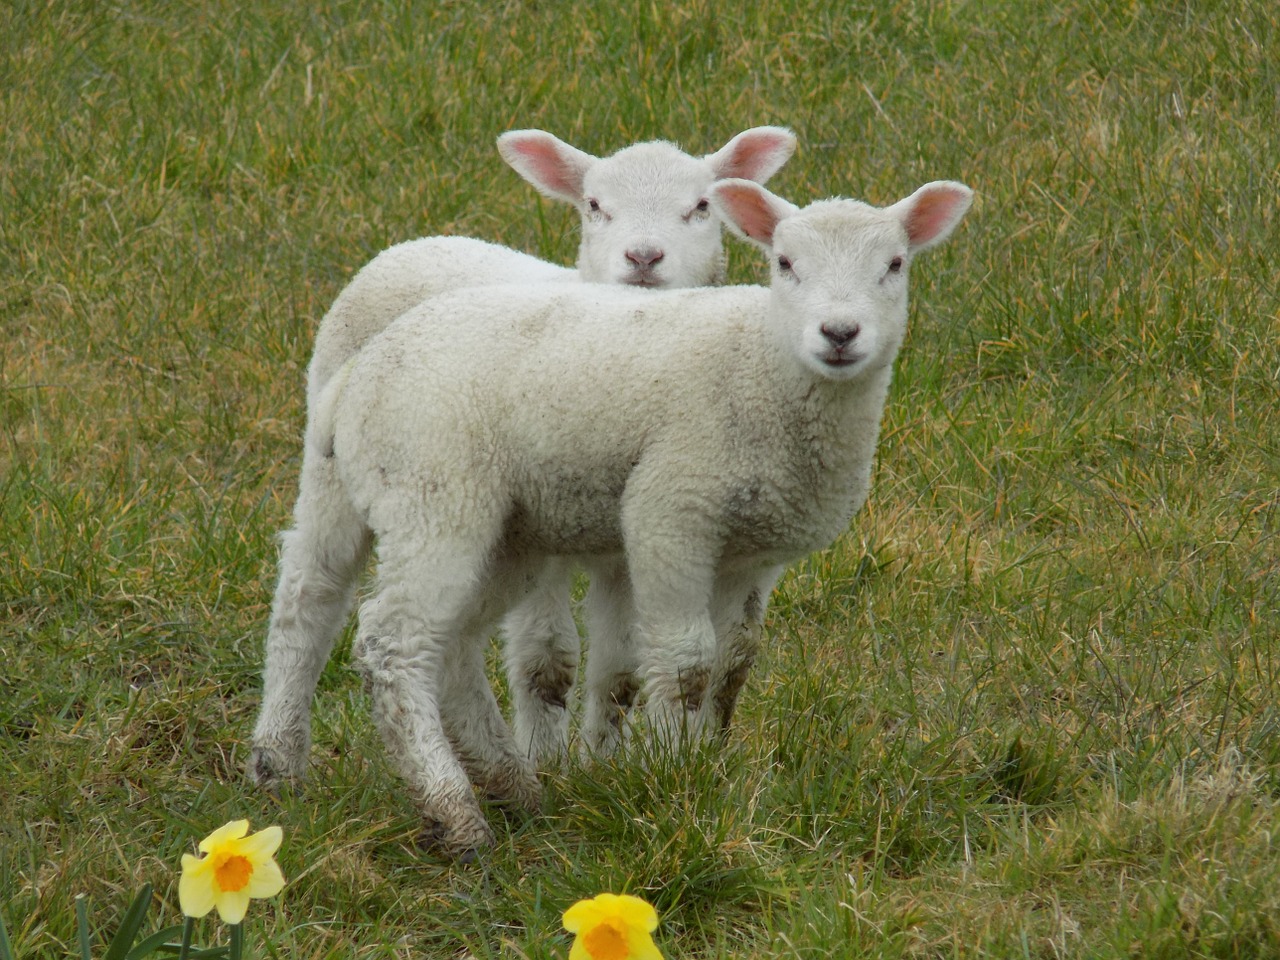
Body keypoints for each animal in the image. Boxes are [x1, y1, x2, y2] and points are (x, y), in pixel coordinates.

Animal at [247, 126, 798, 788]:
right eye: (594, 206)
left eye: (701, 208)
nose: (643, 258)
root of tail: (419, 242)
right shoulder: (547, 528)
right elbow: (548, 660)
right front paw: (548, 764)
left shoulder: (636, 550)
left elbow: (632, 671)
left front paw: (609, 767)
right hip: (335, 460)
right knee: (310, 591)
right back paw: (278, 756)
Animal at [288, 175, 967, 855]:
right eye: (785, 263)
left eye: (895, 265)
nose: (840, 333)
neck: (762, 365)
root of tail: (364, 366)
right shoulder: (671, 507)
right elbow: (687, 661)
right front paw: (672, 778)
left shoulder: (754, 549)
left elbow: (734, 662)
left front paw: (712, 764)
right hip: (430, 488)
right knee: (378, 635)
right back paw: (448, 811)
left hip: (504, 530)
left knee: (450, 645)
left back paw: (514, 787)